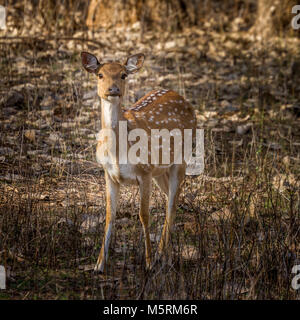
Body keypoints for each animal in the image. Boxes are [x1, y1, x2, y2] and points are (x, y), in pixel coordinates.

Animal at [81, 51, 197, 272]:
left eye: (123, 74)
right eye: (100, 74)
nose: (113, 89)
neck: (118, 152)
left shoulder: (145, 172)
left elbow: (144, 215)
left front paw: (149, 263)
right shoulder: (109, 174)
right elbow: (110, 214)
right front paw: (99, 264)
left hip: (181, 159)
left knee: (172, 204)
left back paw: (161, 256)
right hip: (161, 171)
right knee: (171, 198)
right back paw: (167, 256)